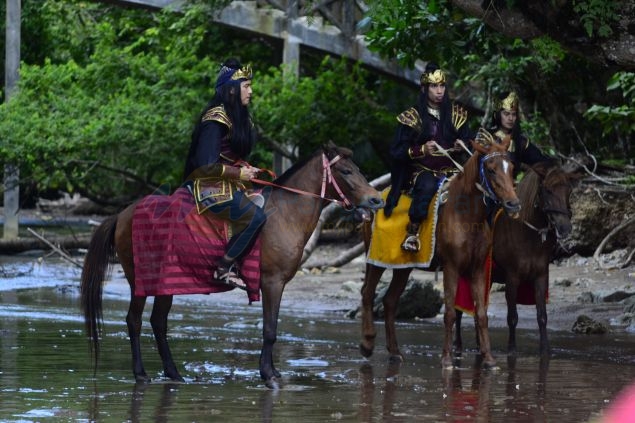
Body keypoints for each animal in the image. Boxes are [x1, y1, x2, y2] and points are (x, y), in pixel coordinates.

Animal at [82, 143, 386, 390]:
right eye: (346, 171)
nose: (376, 200)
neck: (285, 214)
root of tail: (123, 214)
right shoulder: (272, 281)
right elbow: (270, 330)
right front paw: (268, 375)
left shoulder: (278, 283)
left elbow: (272, 327)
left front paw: (272, 372)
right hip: (139, 279)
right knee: (134, 320)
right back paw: (141, 374)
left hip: (166, 281)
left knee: (158, 322)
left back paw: (174, 374)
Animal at [360, 136, 520, 368]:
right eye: (490, 170)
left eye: (512, 168)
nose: (513, 204)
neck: (467, 216)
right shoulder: (451, 267)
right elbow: (450, 313)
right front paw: (447, 358)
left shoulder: (478, 268)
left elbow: (481, 313)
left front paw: (489, 359)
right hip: (376, 259)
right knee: (367, 293)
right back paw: (367, 344)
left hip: (404, 267)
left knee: (389, 301)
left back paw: (395, 352)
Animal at [454, 161, 584, 356]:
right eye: (547, 191)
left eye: (568, 190)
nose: (565, 227)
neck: (527, 234)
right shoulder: (512, 278)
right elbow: (512, 317)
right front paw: (512, 349)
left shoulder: (540, 277)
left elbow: (542, 316)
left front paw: (545, 349)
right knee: (459, 310)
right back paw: (458, 345)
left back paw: (479, 345)